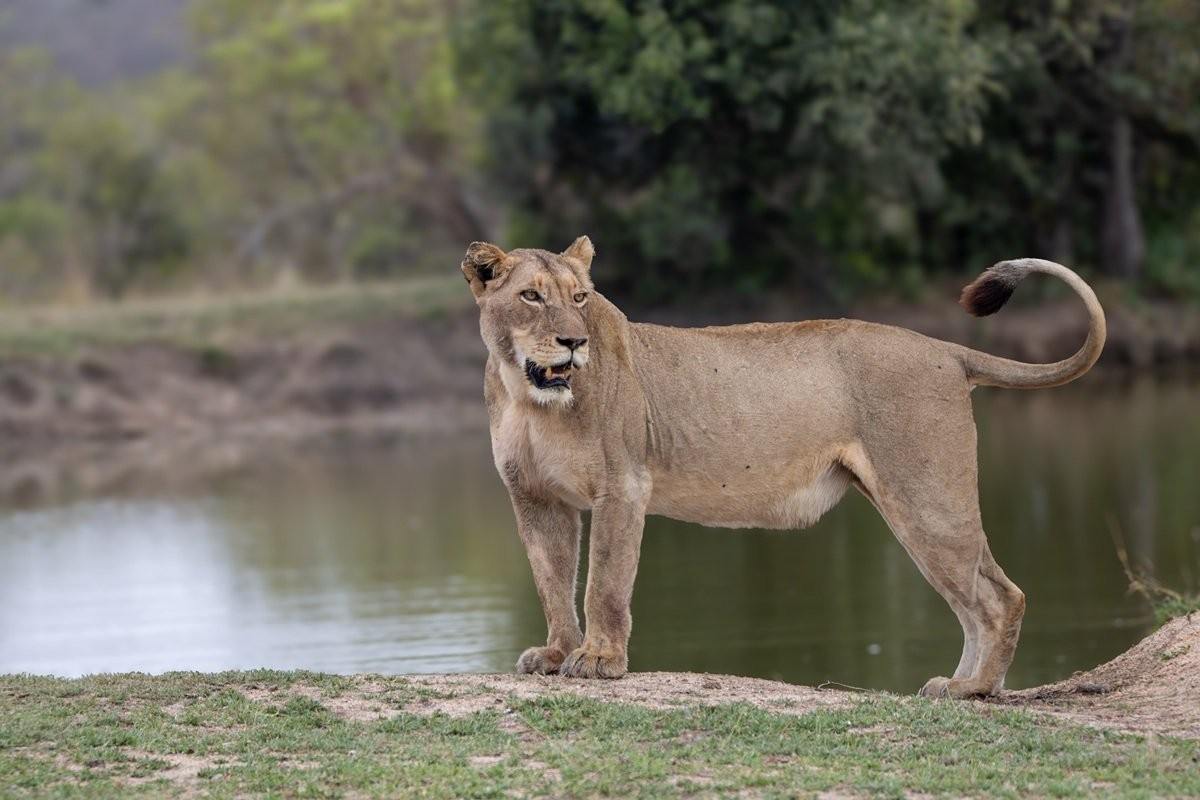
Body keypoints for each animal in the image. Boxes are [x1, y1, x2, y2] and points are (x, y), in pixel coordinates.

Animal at [461, 236, 1105, 698]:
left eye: (580, 299)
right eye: (531, 297)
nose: (573, 343)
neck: (530, 398)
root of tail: (945, 349)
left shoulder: (623, 486)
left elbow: (603, 585)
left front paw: (599, 660)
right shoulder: (536, 497)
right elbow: (552, 579)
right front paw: (554, 654)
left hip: (926, 499)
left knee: (1001, 597)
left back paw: (975, 688)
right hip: (915, 508)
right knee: (974, 601)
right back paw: (962, 684)